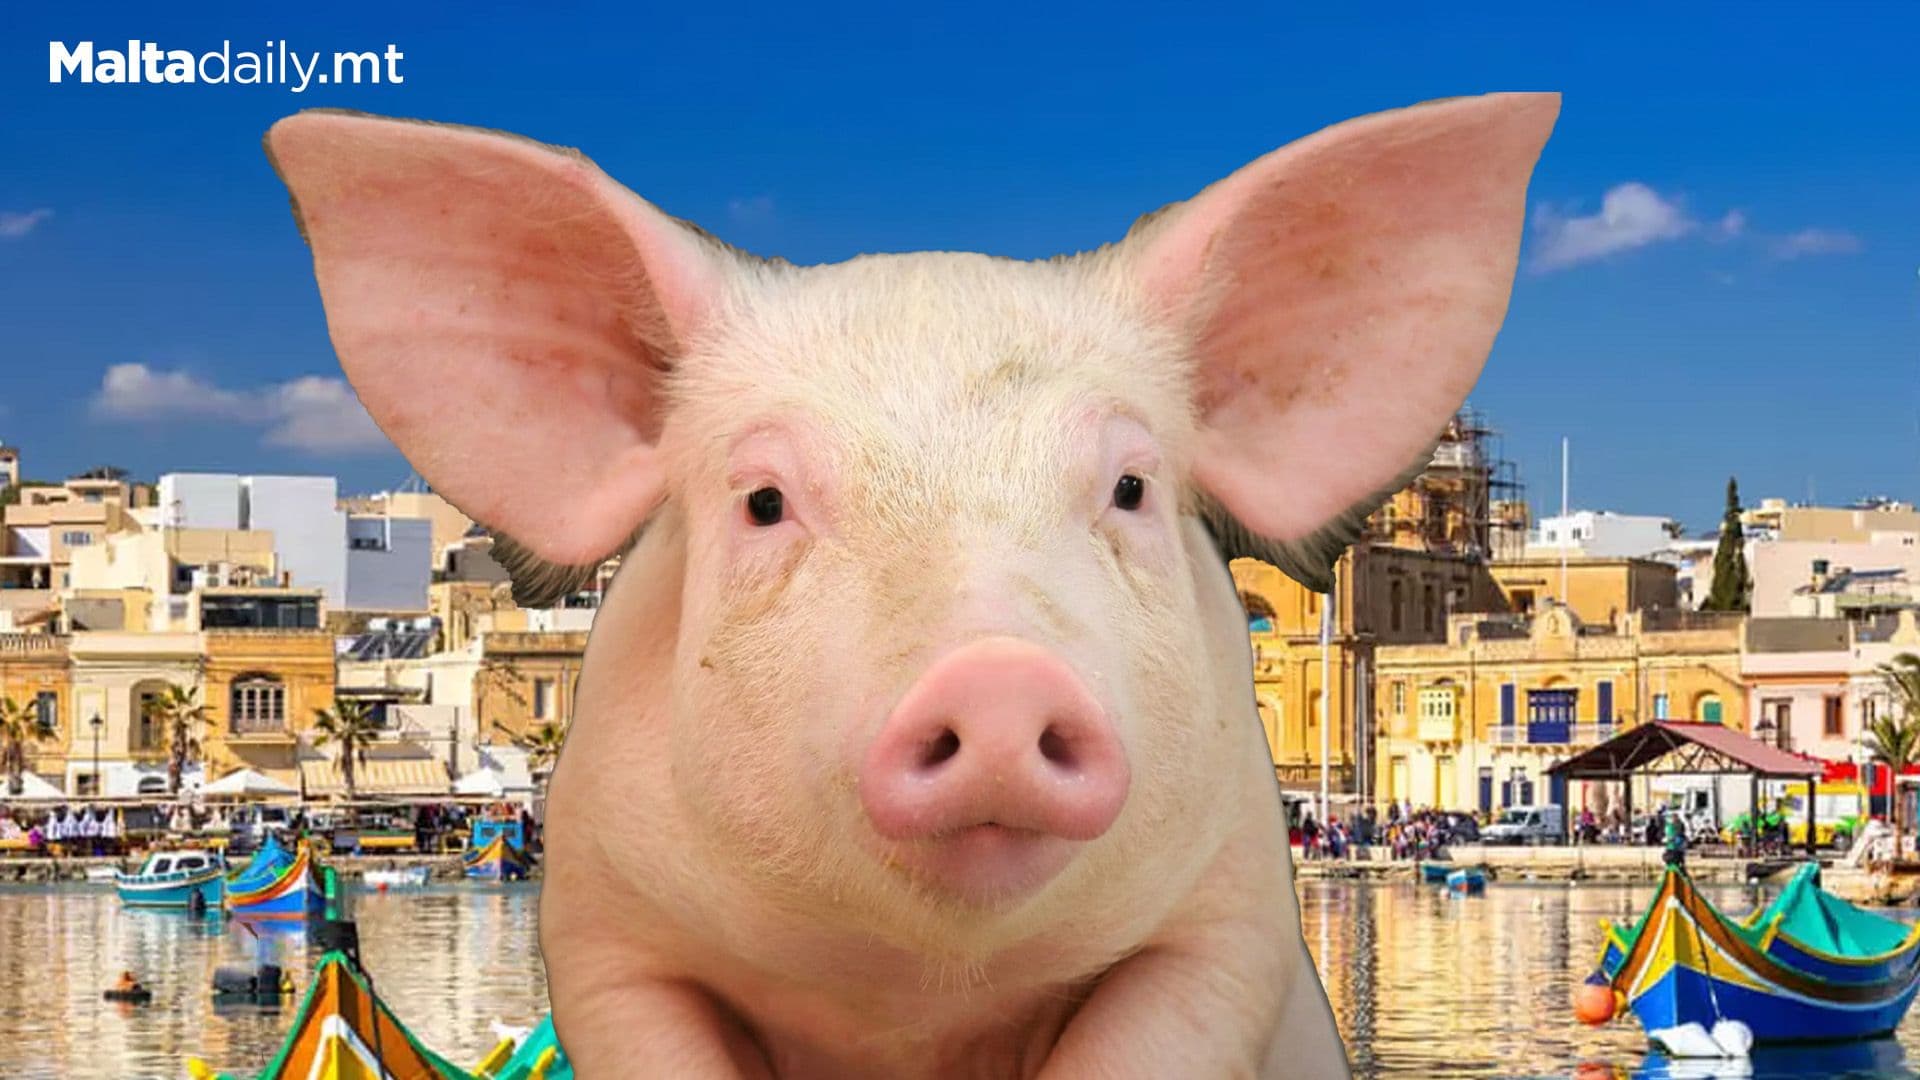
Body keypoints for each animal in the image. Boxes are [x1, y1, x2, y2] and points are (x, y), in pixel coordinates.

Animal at [265, 91, 1557, 1078]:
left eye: (1132, 487)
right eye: (763, 501)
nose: (995, 677)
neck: (916, 998)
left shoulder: (1230, 912)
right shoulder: (604, 925)